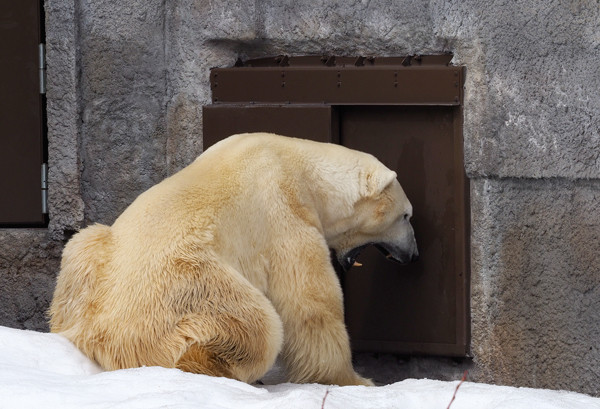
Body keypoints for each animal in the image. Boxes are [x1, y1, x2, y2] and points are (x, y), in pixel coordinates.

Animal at [49, 132, 418, 384]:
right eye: (406, 216)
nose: (413, 254)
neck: (301, 165)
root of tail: (98, 334)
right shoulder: (283, 213)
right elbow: (310, 303)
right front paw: (355, 380)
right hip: (187, 284)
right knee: (257, 323)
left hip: (90, 262)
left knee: (83, 244)